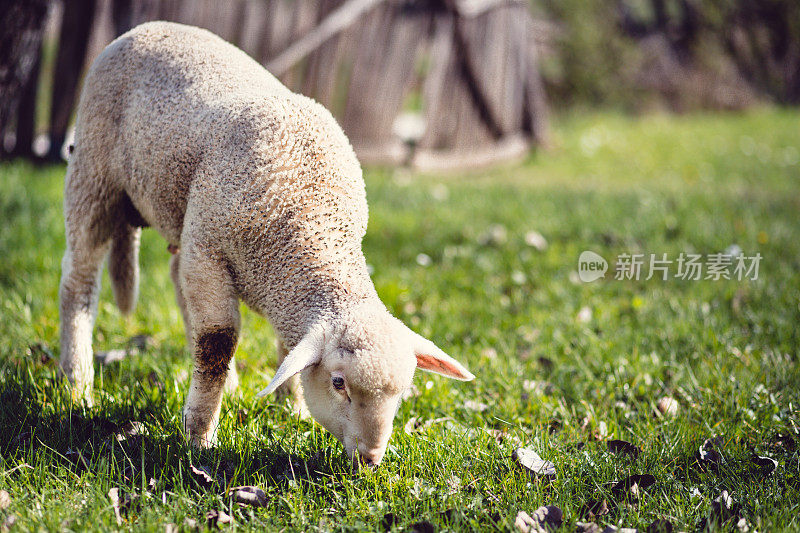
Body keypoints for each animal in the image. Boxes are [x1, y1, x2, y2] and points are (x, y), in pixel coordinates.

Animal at [62, 19, 476, 466]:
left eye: (401, 393)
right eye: (338, 383)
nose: (370, 458)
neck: (310, 226)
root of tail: (148, 27)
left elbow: (282, 346)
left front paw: (291, 408)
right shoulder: (209, 247)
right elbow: (217, 341)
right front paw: (199, 438)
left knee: (176, 278)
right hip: (93, 174)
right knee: (79, 281)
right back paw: (77, 386)